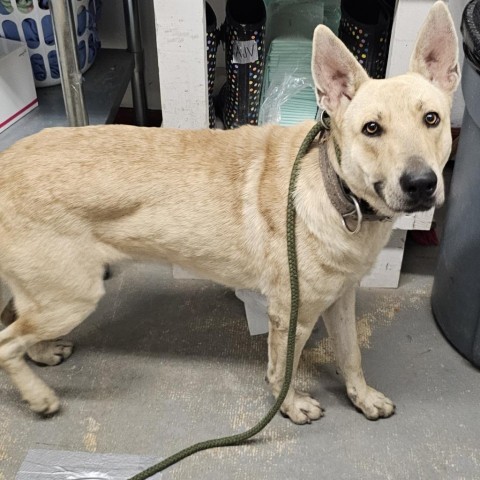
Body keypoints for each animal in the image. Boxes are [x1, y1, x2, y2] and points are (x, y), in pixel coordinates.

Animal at [0, 3, 458, 424]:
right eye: (371, 129)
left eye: (431, 119)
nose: (421, 184)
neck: (336, 191)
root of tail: (6, 160)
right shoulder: (292, 315)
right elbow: (283, 369)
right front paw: (290, 405)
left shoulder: (341, 299)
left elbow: (351, 356)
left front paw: (362, 397)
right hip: (71, 297)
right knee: (6, 344)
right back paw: (39, 396)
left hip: (49, 295)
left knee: (17, 324)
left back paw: (42, 354)